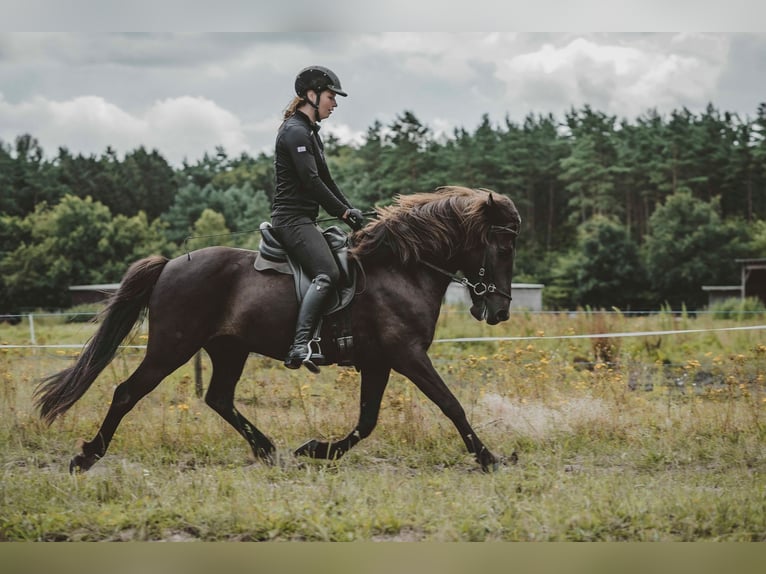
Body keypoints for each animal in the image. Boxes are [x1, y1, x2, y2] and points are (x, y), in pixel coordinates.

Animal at [34, 187, 520, 474]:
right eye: (502, 245)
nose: (498, 311)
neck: (402, 269)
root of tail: (171, 264)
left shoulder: (379, 362)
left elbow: (367, 421)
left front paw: (316, 450)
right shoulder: (407, 355)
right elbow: (450, 405)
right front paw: (491, 458)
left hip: (228, 349)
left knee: (219, 399)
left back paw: (268, 450)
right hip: (172, 348)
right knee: (127, 393)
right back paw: (86, 456)